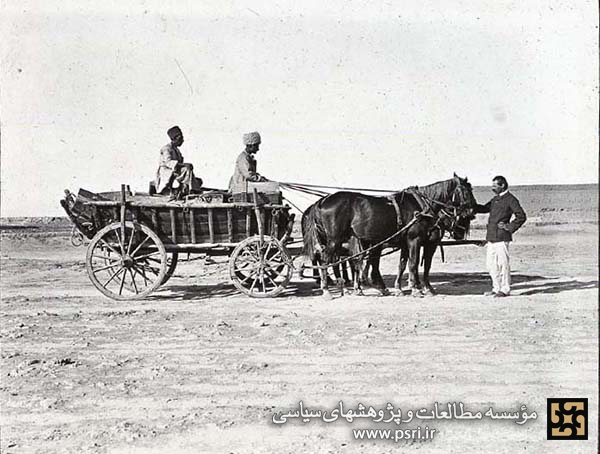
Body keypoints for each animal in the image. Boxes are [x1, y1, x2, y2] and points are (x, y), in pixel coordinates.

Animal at [302, 174, 476, 298]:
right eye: (466, 191)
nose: (472, 211)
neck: (421, 207)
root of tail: (322, 201)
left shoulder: (406, 243)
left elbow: (403, 265)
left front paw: (403, 288)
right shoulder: (416, 241)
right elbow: (414, 264)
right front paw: (417, 289)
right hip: (334, 240)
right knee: (326, 259)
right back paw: (327, 289)